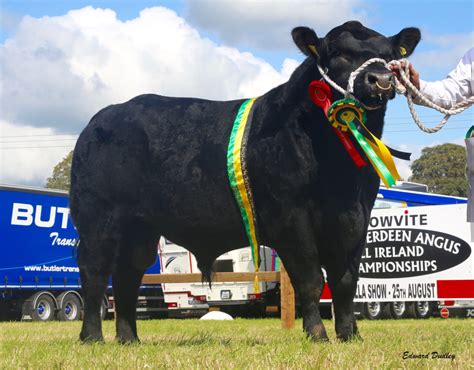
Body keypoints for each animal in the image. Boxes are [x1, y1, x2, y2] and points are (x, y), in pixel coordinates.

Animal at [69, 21, 418, 344]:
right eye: (339, 53)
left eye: (390, 57)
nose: (381, 80)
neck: (339, 173)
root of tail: (102, 117)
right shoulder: (291, 217)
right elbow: (310, 279)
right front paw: (317, 334)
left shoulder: (356, 216)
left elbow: (345, 280)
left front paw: (349, 335)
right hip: (97, 219)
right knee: (94, 272)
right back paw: (92, 337)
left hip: (139, 229)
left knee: (127, 276)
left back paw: (129, 339)